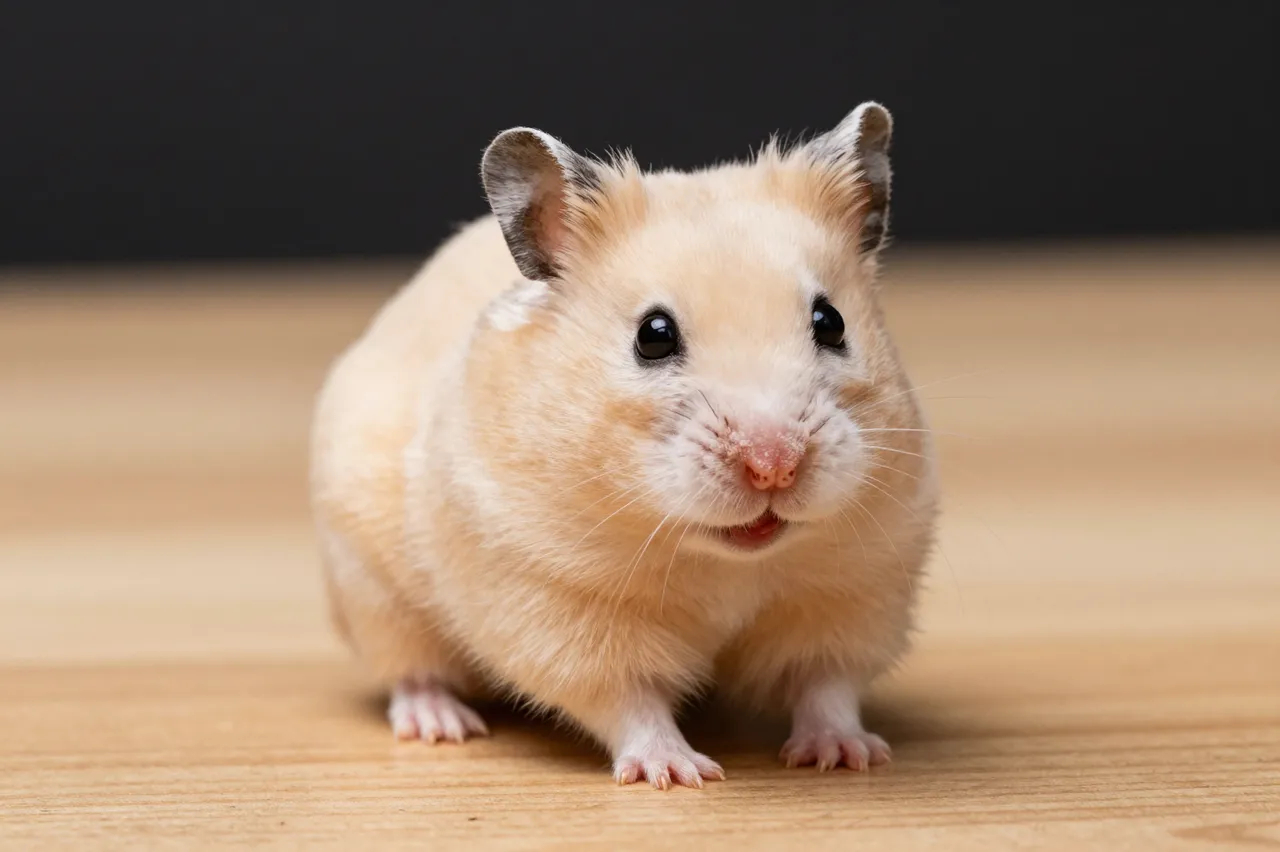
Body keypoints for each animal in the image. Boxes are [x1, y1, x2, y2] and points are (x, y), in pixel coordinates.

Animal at [310, 101, 937, 790]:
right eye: (653, 336)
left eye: (832, 322)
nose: (774, 466)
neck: (724, 560)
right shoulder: (561, 602)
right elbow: (629, 700)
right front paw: (681, 773)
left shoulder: (854, 589)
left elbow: (827, 684)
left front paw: (847, 755)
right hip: (372, 589)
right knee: (411, 669)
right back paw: (441, 725)